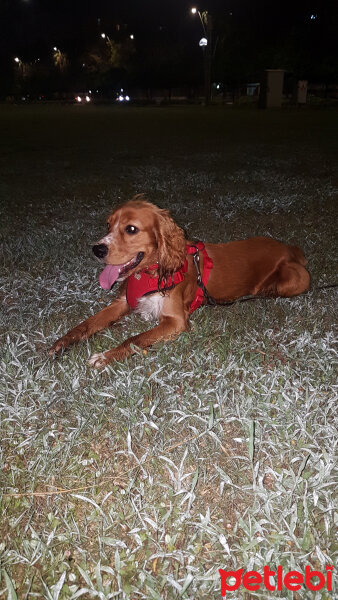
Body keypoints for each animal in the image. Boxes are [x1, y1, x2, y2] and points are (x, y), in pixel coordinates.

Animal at [48, 196, 310, 366]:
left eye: (131, 229)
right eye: (108, 225)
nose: (97, 249)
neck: (150, 272)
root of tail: (289, 248)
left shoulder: (175, 321)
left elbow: (134, 339)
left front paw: (104, 356)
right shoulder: (122, 302)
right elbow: (86, 325)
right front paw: (62, 342)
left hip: (294, 281)